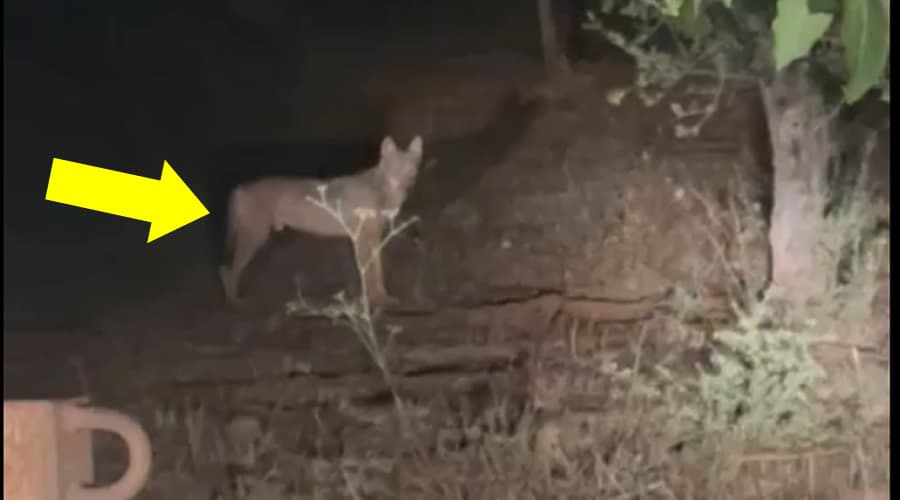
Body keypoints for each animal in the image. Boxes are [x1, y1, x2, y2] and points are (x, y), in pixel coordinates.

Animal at [218, 135, 424, 306]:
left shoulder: (374, 239)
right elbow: (369, 275)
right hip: (254, 238)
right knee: (227, 270)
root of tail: (240, 187)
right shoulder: (361, 240)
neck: (384, 192)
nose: (409, 183)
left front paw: (384, 297)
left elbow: (378, 273)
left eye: (412, 168)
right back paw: (234, 301)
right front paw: (375, 300)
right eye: (395, 167)